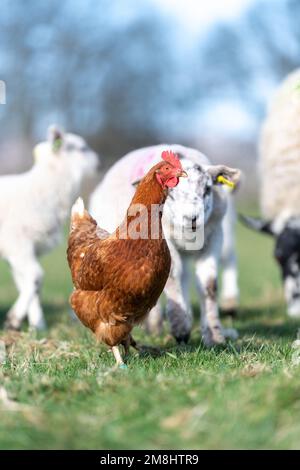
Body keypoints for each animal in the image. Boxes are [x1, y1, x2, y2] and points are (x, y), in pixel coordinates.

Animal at [0, 125, 99, 330]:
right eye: (82, 148)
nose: (99, 164)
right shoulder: (17, 242)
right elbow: (35, 276)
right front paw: (15, 318)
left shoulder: (21, 250)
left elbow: (29, 283)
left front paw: (37, 325)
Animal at [89, 145, 241, 346]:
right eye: (172, 193)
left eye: (208, 188)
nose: (192, 218)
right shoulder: (163, 241)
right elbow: (172, 276)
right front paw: (180, 328)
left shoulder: (214, 237)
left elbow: (209, 284)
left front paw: (213, 334)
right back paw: (156, 325)